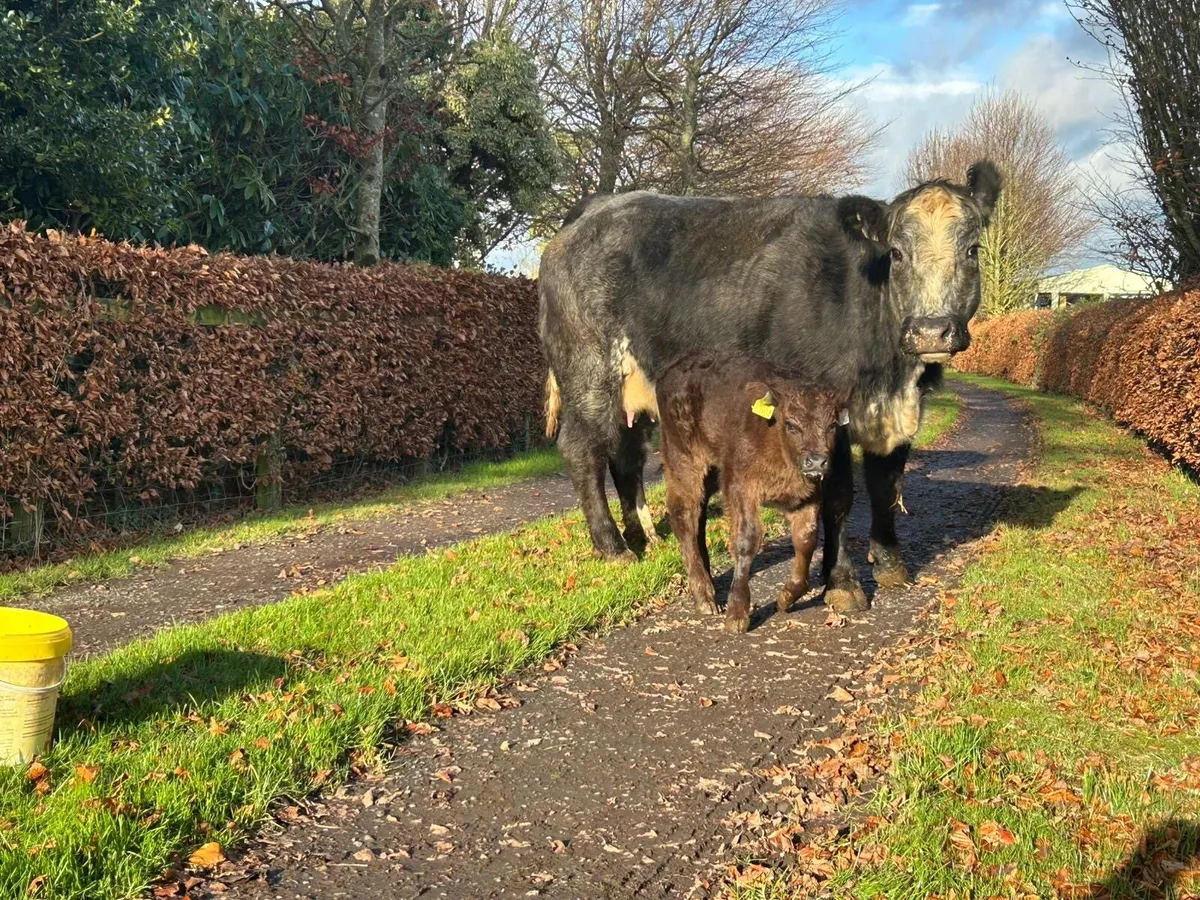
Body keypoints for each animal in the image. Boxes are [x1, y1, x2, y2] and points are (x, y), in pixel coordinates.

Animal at [656, 352, 850, 632]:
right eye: (791, 425)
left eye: (833, 425)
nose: (816, 462)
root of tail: (671, 370)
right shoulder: (740, 488)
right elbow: (746, 540)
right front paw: (737, 615)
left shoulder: (809, 494)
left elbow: (806, 539)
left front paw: (786, 597)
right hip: (685, 461)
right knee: (684, 516)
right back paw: (705, 597)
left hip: (709, 472)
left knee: (698, 516)